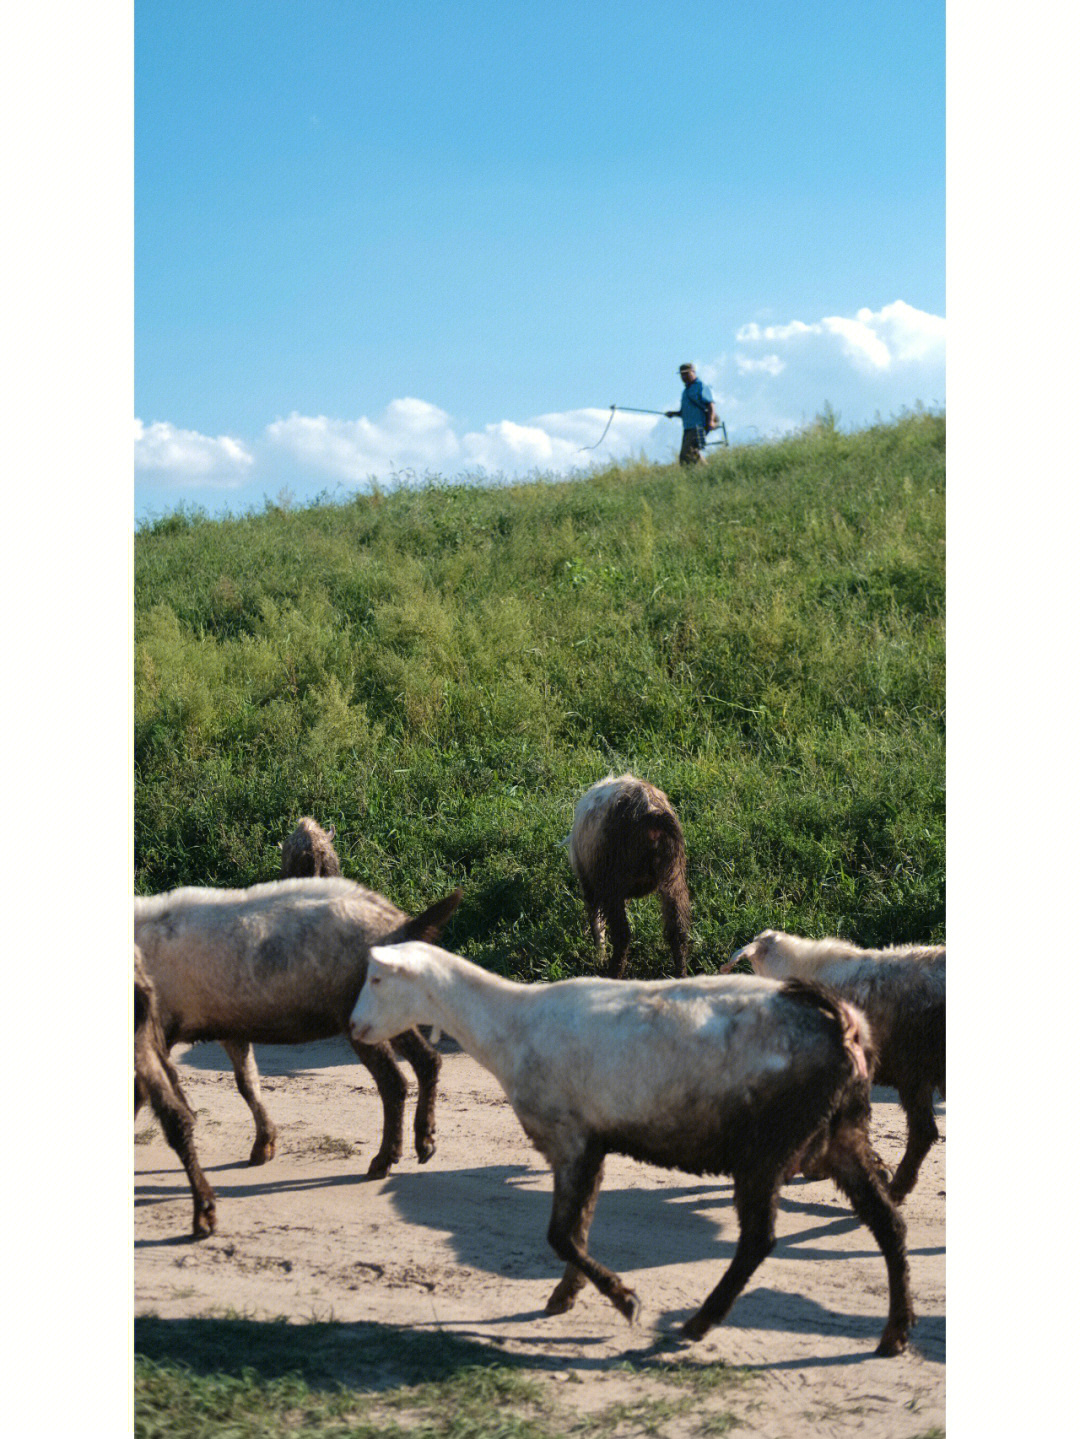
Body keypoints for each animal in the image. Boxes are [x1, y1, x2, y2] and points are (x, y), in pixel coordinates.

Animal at [135, 874, 460, 1179]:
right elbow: (248, 1083)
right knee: (427, 1061)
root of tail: (400, 927)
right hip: (389, 1013)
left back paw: (384, 1160)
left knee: (393, 1082)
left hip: (359, 1017)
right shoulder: (228, 1028)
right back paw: (424, 1141)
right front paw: (263, 1145)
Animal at [566, 777, 693, 978]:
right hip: (674, 874)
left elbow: (596, 921)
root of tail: (651, 811)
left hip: (612, 881)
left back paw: (613, 974)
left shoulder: (591, 883)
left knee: (622, 935)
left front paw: (600, 955)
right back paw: (681, 975)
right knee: (678, 930)